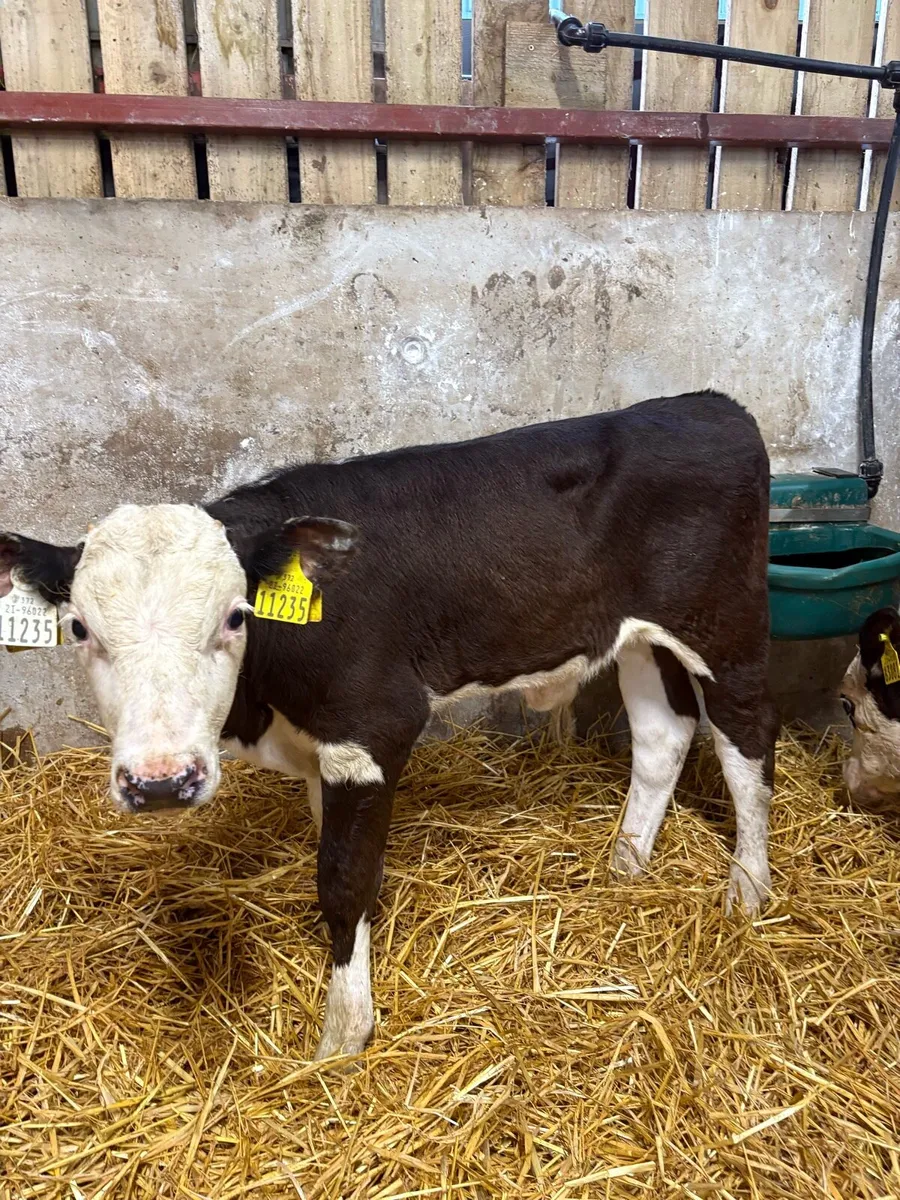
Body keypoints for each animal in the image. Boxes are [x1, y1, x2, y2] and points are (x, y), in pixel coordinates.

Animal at [0, 390, 778, 1062]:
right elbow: (340, 858)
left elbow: (344, 879)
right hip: (642, 637)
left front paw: (343, 1038)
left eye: (234, 616)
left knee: (747, 745)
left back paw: (747, 893)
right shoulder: (327, 754)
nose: (161, 782)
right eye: (79, 628)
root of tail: (709, 404)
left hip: (727, 630)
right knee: (662, 735)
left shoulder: (374, 727)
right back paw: (626, 866)